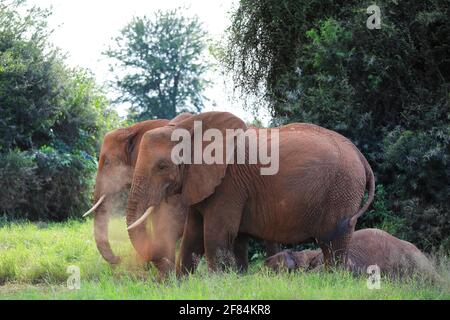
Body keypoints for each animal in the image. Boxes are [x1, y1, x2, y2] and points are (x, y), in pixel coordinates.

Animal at [125, 111, 374, 274]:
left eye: (162, 167)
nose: (162, 270)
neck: (191, 126)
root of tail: (360, 155)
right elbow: (192, 237)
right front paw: (183, 284)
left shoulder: (229, 184)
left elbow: (215, 235)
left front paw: (217, 283)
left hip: (342, 190)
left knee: (334, 242)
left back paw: (333, 280)